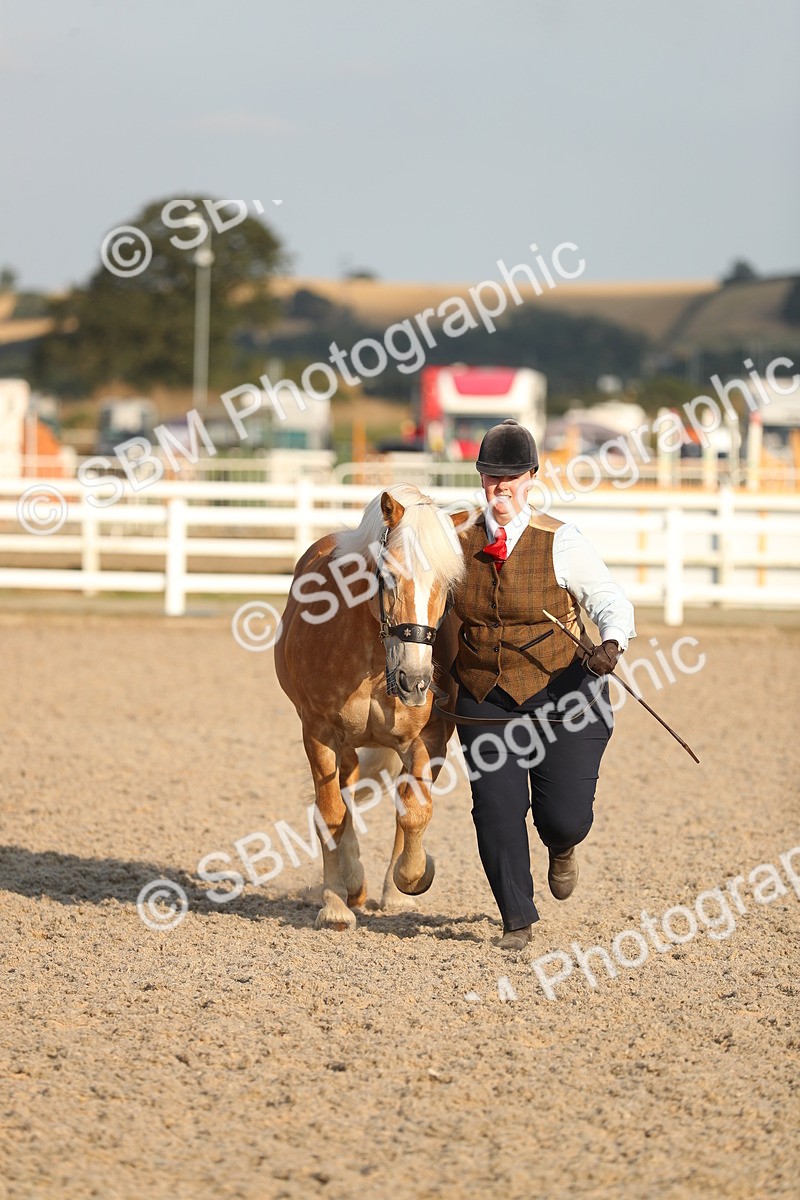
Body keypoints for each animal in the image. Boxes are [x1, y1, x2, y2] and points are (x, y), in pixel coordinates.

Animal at [275, 484, 467, 930]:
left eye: (447, 584)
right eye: (389, 576)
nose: (417, 681)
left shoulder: (428, 740)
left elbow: (413, 810)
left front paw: (411, 879)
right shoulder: (319, 734)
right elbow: (330, 815)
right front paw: (334, 904)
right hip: (343, 747)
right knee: (341, 802)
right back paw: (352, 882)